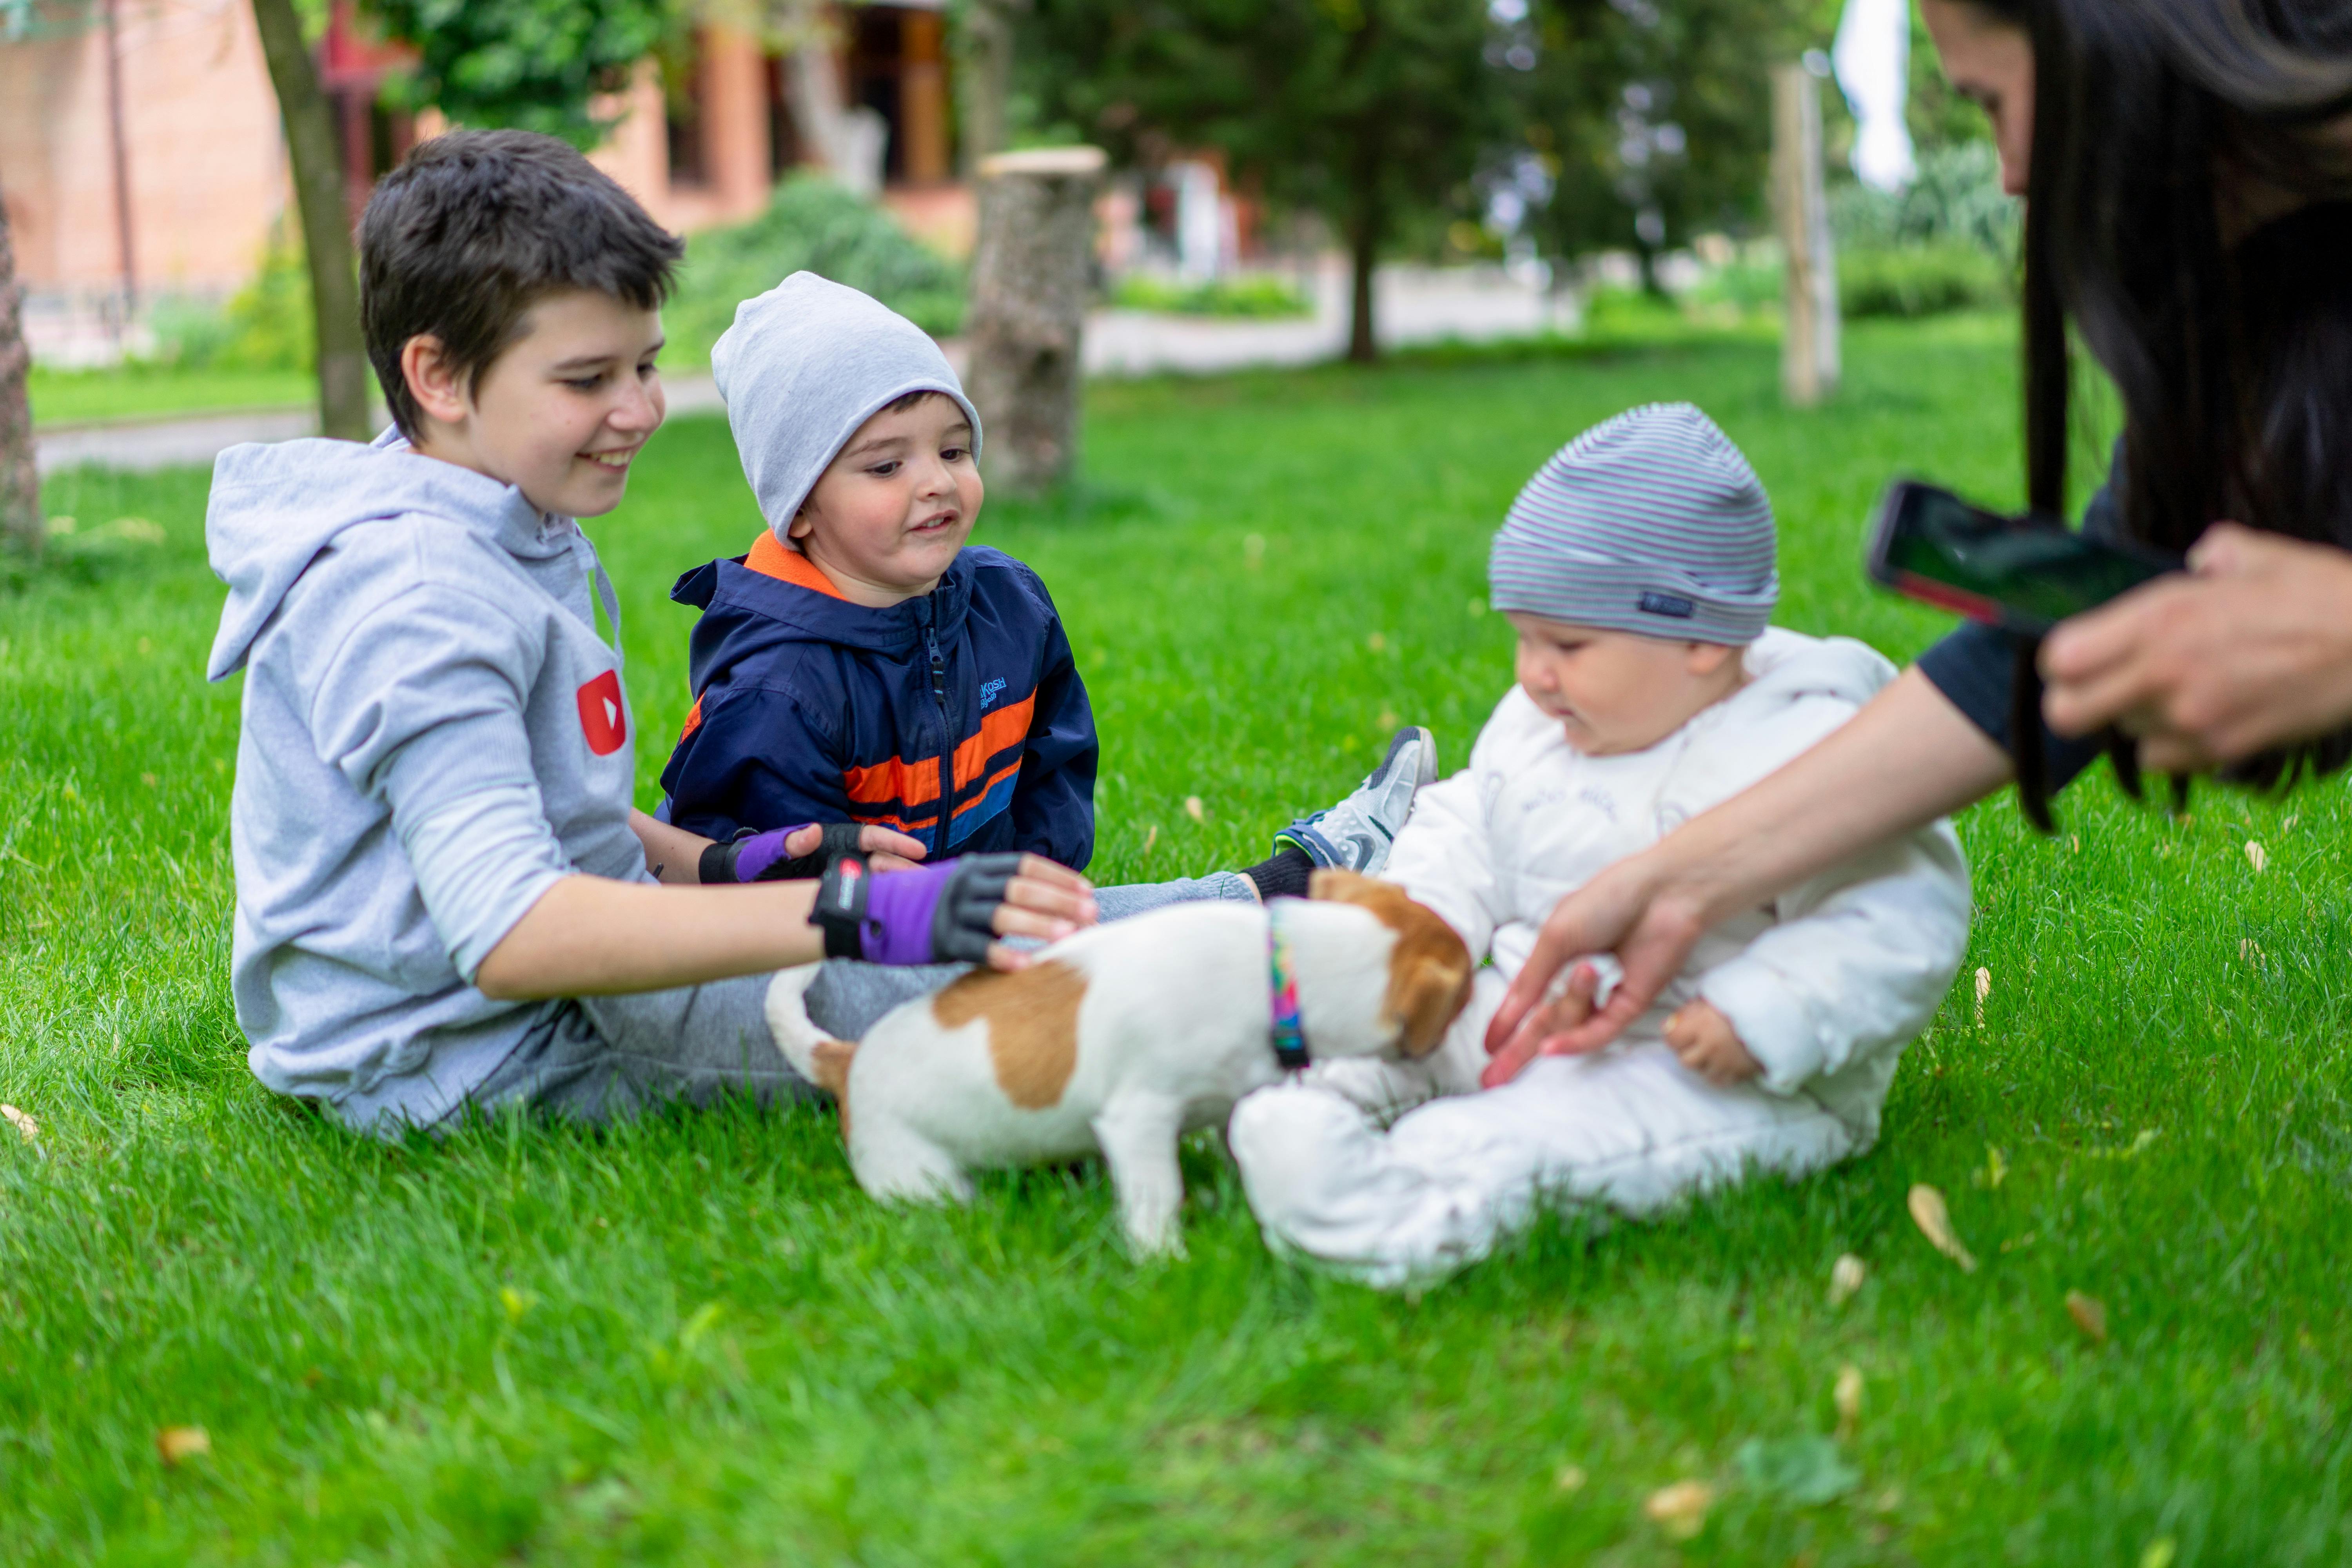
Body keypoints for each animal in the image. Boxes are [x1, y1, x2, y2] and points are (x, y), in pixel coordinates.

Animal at [771, 865, 1468, 1260]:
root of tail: (847, 1059)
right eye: (1462, 993)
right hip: (920, 1175)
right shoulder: (1140, 1119)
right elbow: (1158, 1192)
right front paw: (1165, 1258)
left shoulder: (1231, 1096)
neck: (1283, 969)